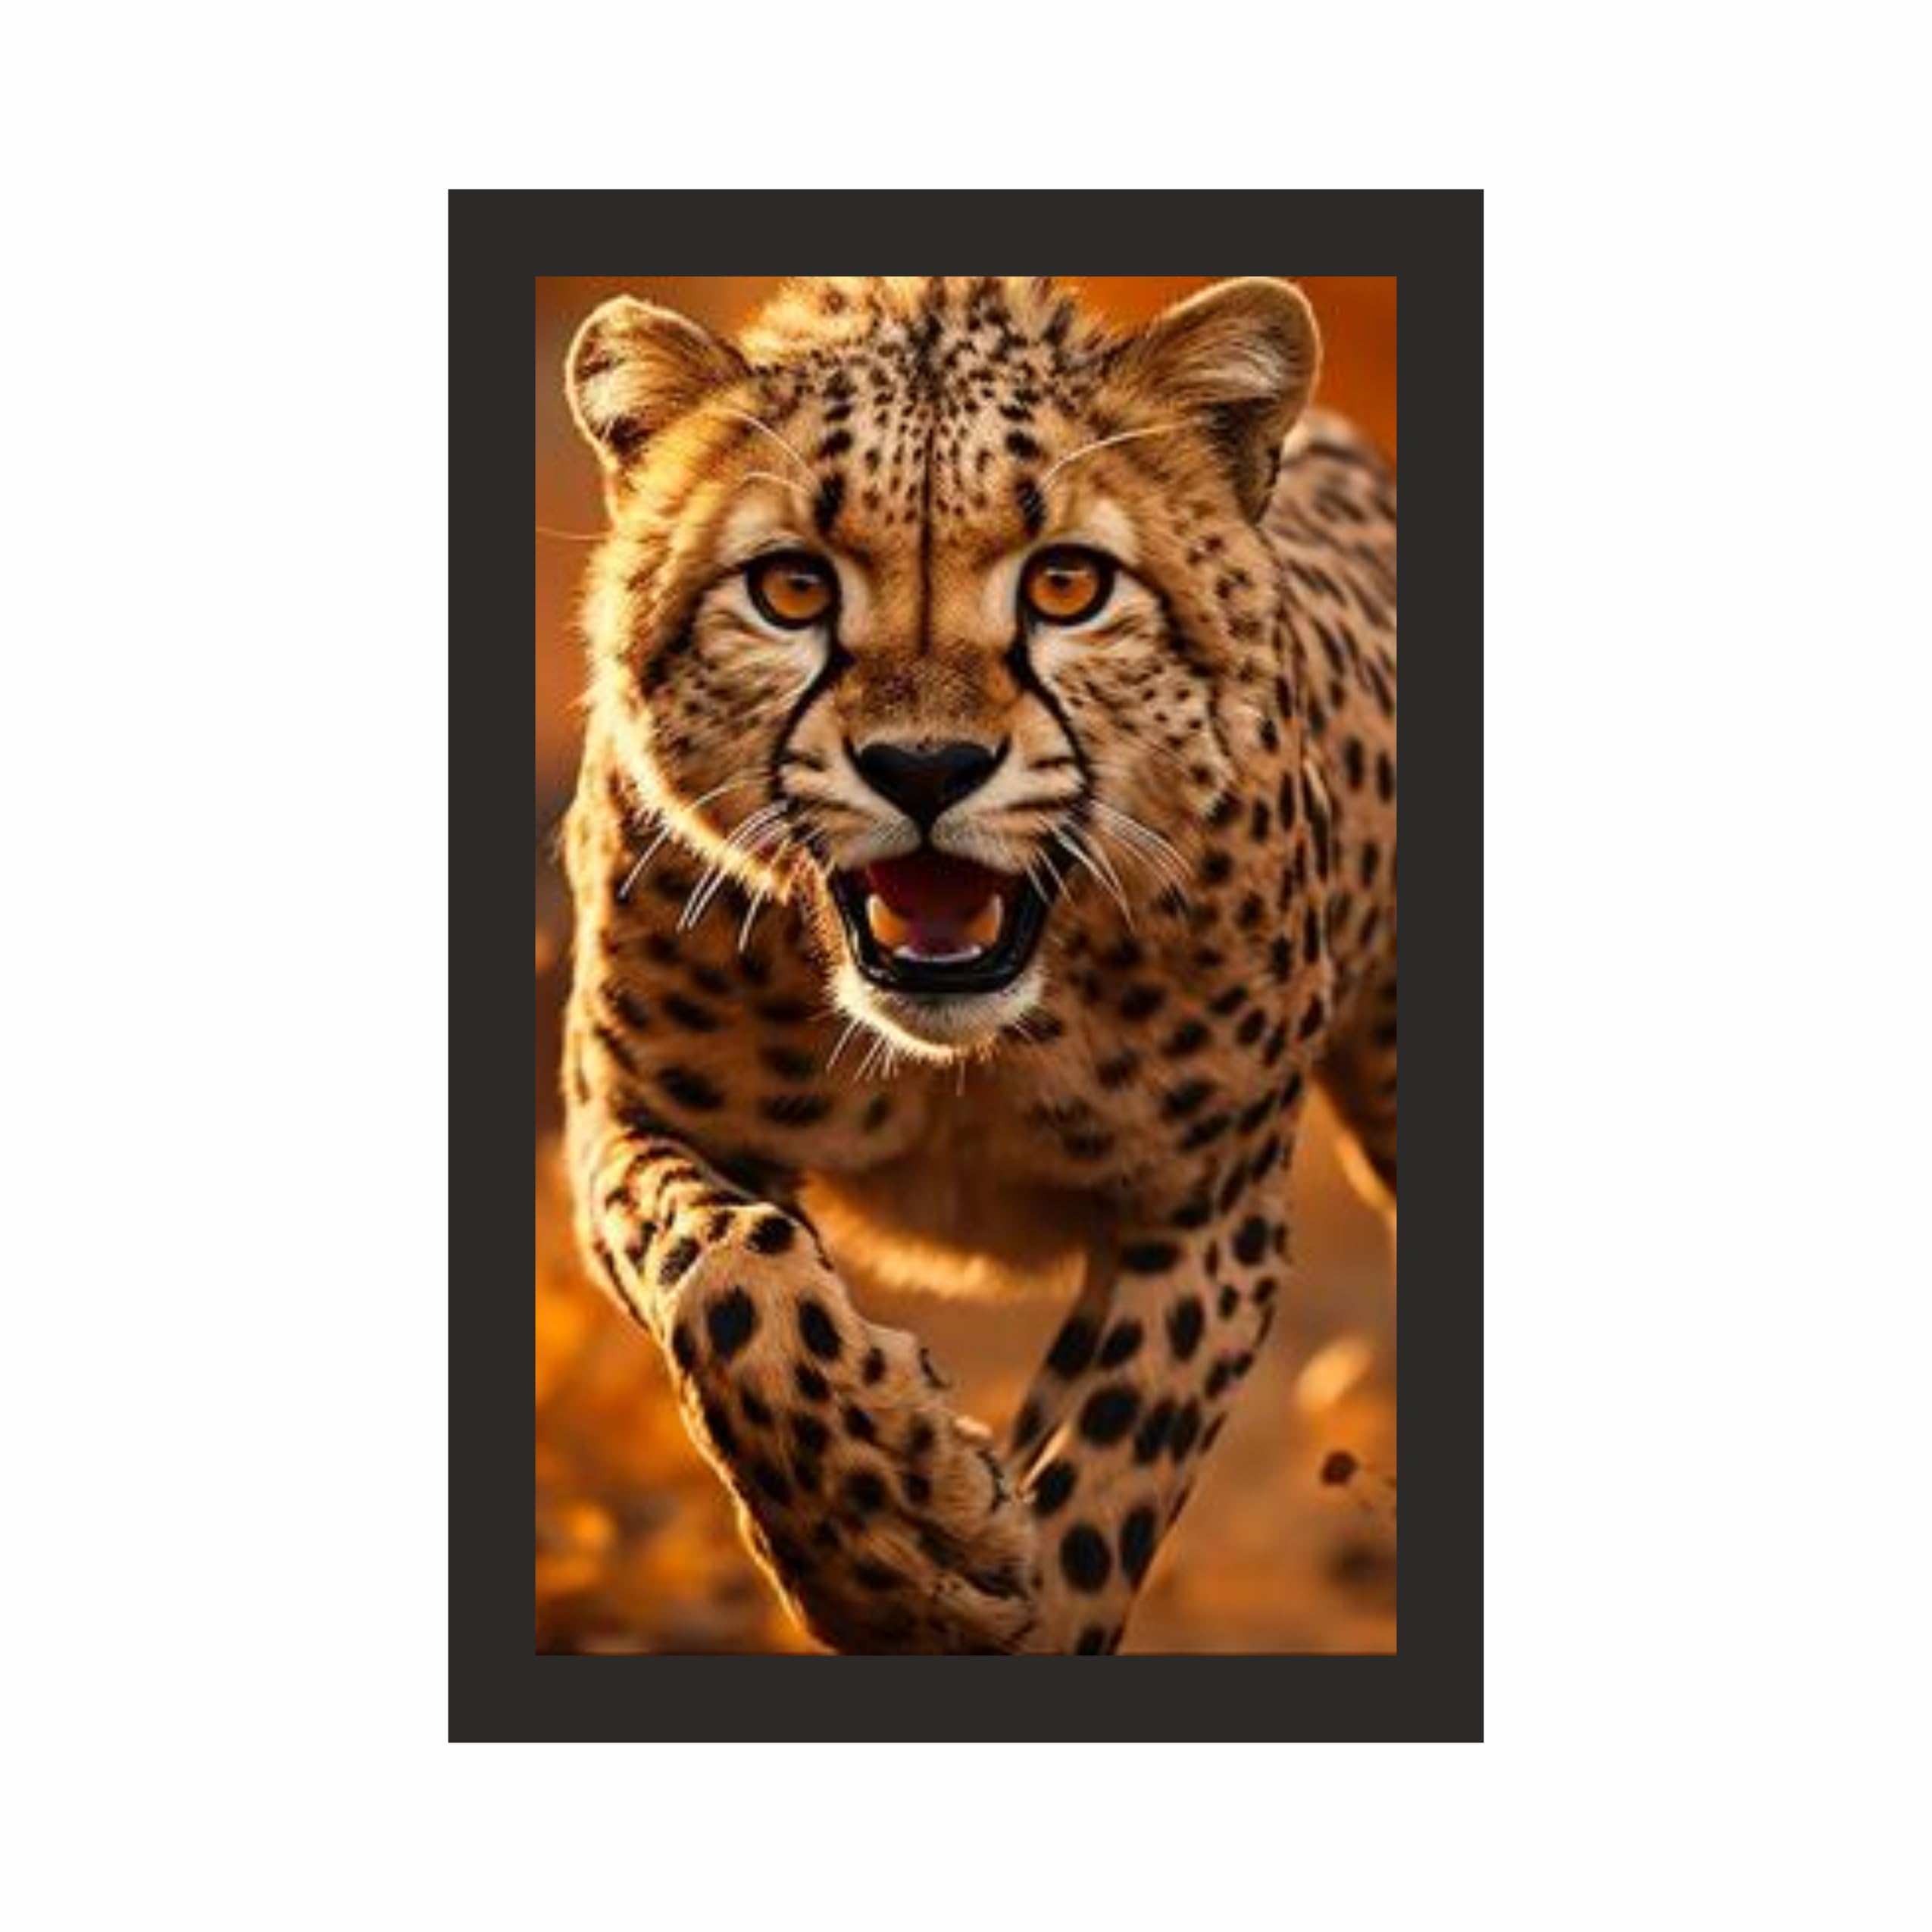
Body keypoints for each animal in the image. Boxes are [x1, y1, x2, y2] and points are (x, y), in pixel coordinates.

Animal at [558, 275, 1396, 1654]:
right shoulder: (633, 1119)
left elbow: (1110, 1472)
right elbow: (730, 1285)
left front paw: (976, 1578)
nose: (927, 769)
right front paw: (899, 1543)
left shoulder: (1205, 1211)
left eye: (1066, 585)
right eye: (791, 589)